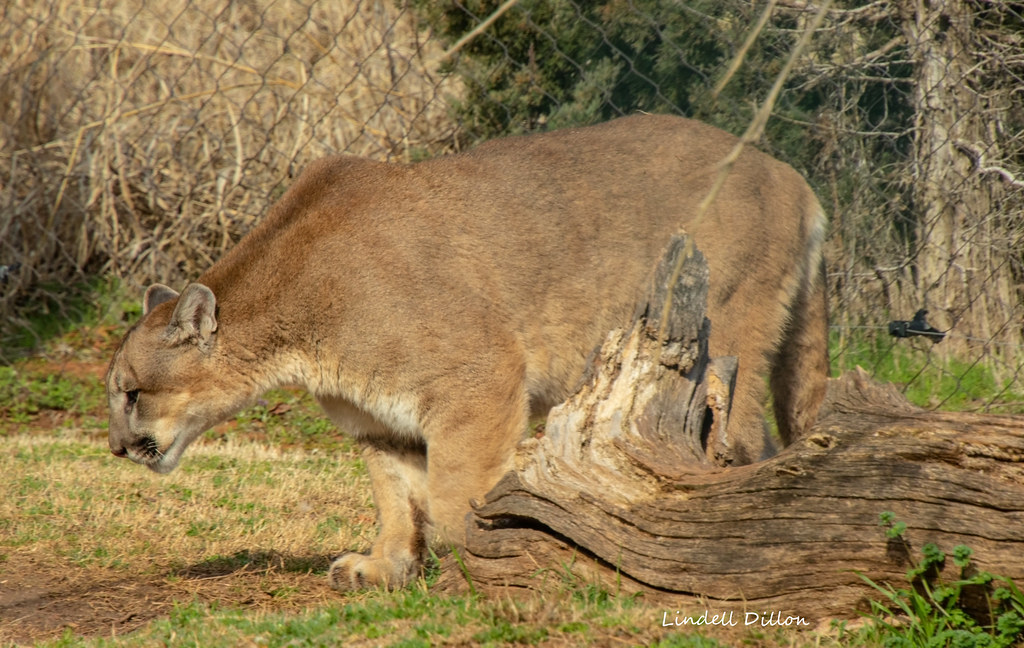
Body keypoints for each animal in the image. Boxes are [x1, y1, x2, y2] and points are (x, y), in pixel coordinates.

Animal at [106, 113, 828, 591]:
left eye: (132, 392)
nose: (114, 448)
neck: (298, 313)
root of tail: (787, 171)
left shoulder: (477, 382)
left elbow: (455, 492)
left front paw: (484, 557)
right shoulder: (380, 421)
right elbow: (397, 495)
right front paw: (386, 566)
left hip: (724, 332)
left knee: (741, 441)